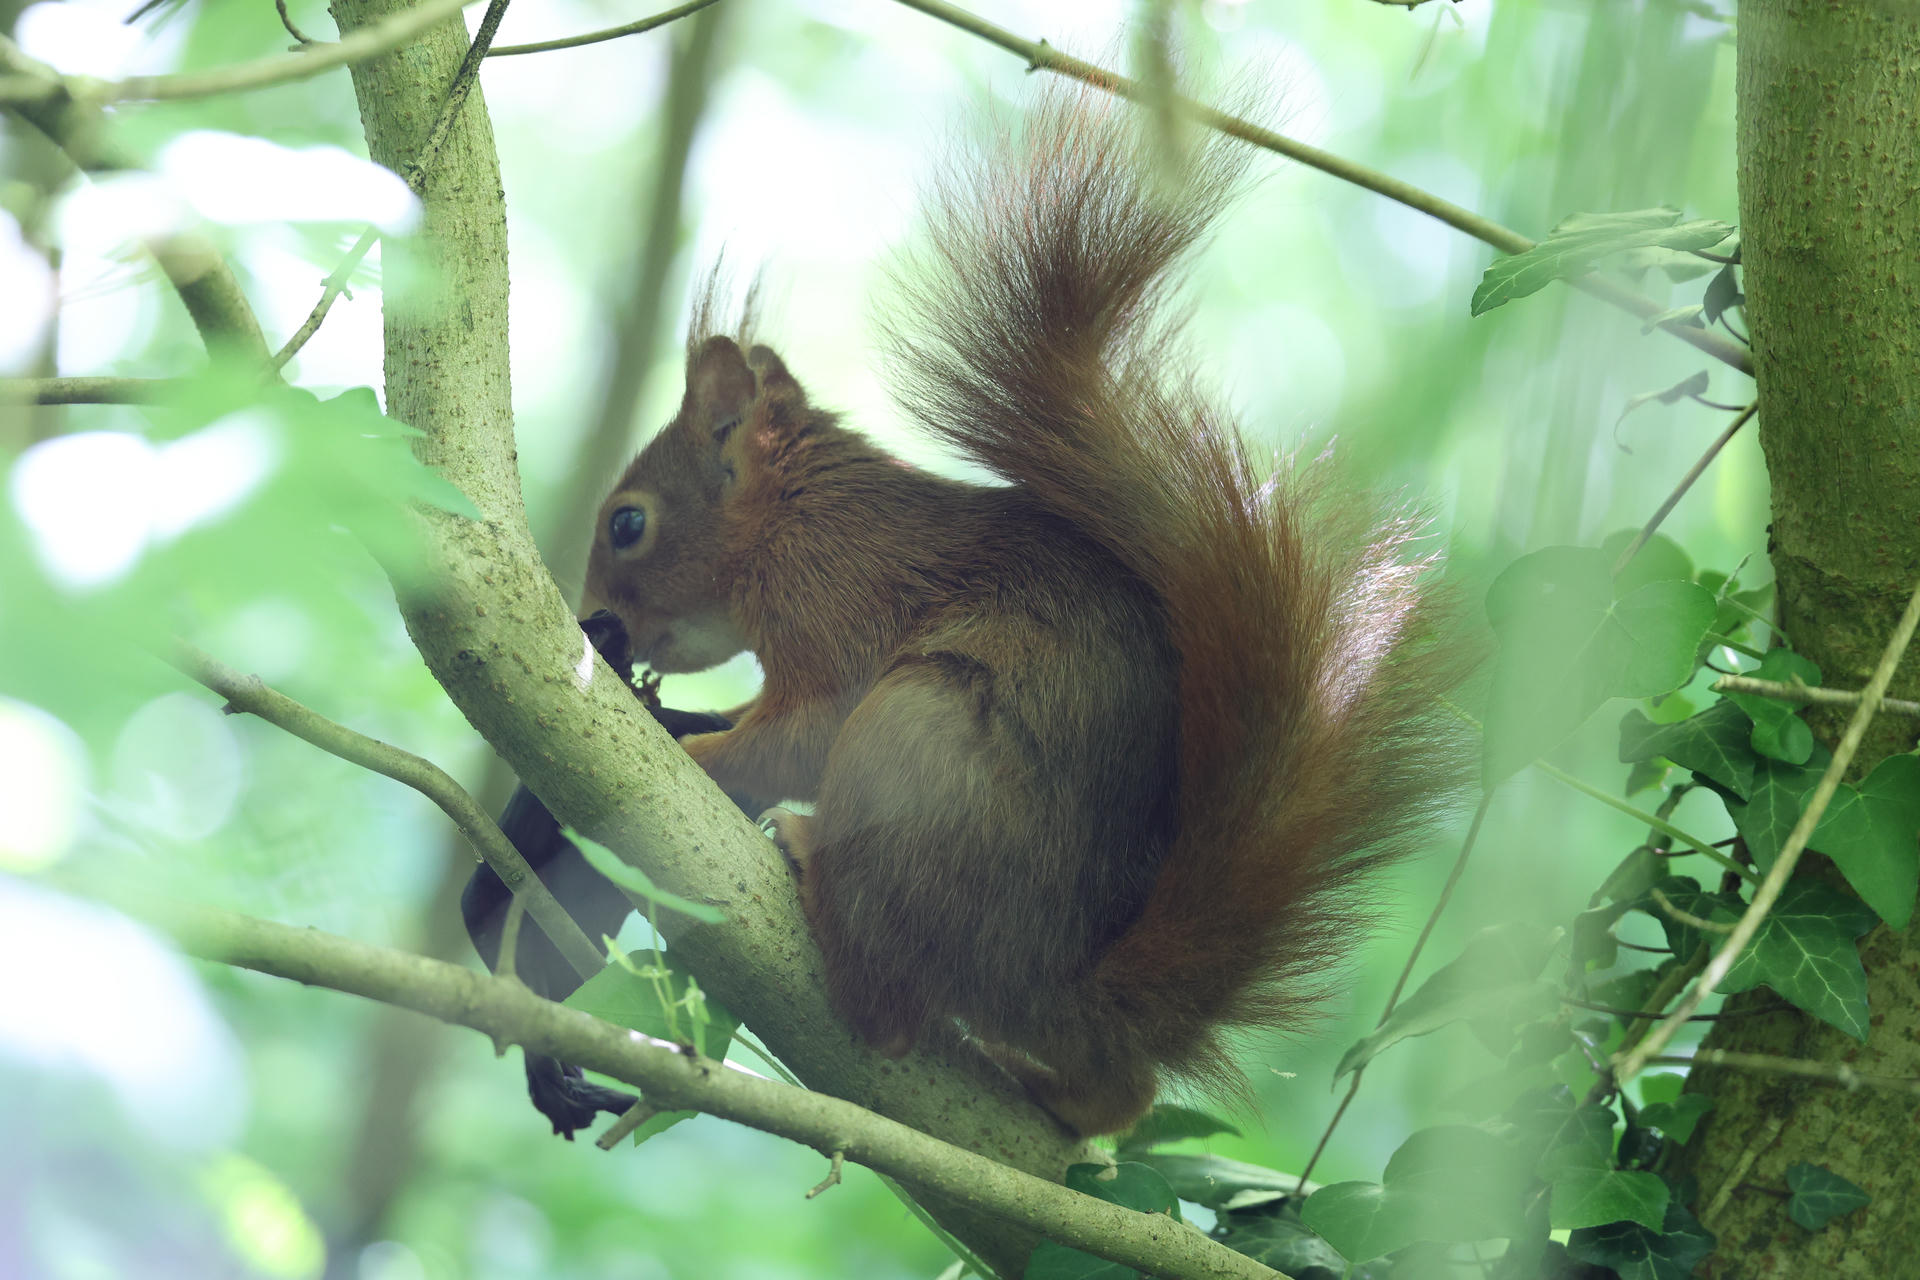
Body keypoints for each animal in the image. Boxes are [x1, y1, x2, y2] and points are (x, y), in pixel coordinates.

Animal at [579, 93, 1466, 1137]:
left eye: (628, 523)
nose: (594, 624)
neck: (798, 515)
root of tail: (1059, 987)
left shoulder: (839, 602)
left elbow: (796, 733)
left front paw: (699, 751)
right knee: (1117, 1092)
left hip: (916, 736)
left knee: (884, 1016)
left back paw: (813, 867)